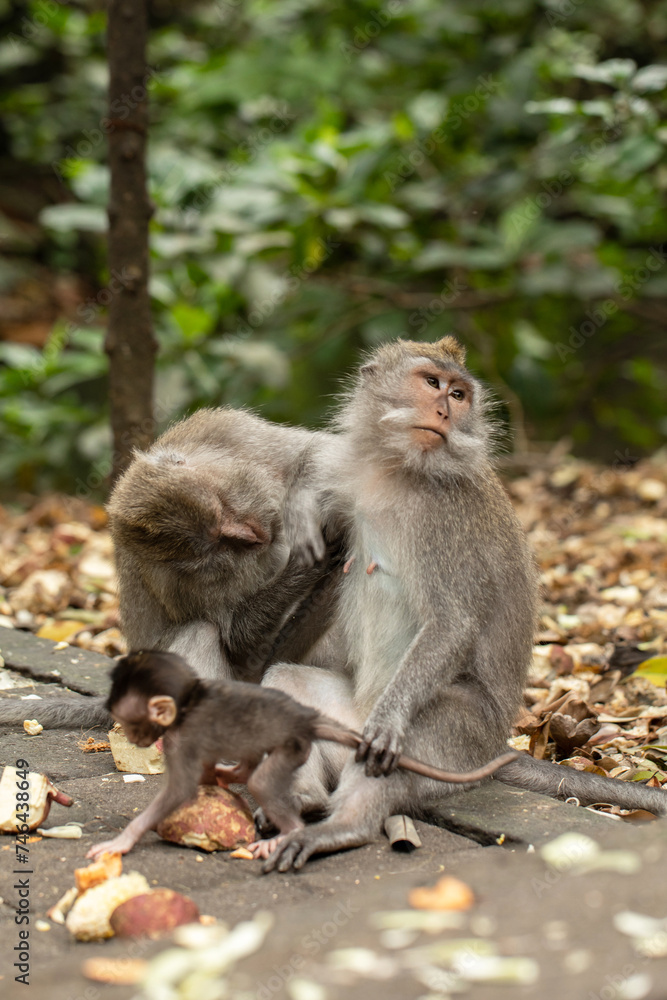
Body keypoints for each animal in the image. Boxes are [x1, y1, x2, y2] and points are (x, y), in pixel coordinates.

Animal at [85, 651, 519, 862]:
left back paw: (294, 826)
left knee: (264, 780)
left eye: (132, 721)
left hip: (292, 745)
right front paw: (216, 779)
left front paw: (122, 841)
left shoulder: (182, 741)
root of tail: (304, 717)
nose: (134, 737)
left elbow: (177, 793)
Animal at [264, 335, 667, 873]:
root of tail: (495, 747)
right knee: (287, 685)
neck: (396, 472)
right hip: (349, 720)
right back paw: (302, 798)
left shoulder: (445, 519)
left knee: (416, 733)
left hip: (461, 742)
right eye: (432, 382)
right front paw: (303, 511)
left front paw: (390, 726)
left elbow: (451, 623)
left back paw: (345, 825)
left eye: (459, 395)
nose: (444, 411)